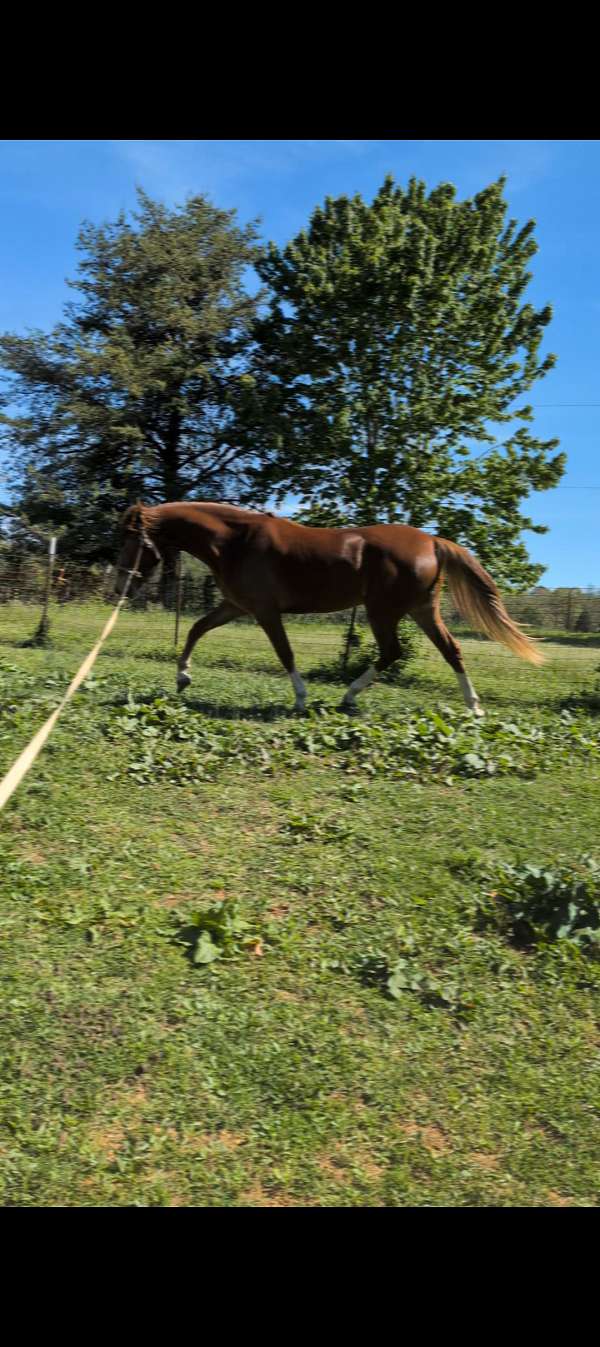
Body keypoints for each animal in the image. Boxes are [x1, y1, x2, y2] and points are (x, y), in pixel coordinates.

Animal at [114, 500, 543, 716]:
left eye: (132, 541)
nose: (121, 585)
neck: (235, 541)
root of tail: (432, 542)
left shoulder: (265, 611)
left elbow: (285, 653)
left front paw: (301, 698)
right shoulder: (235, 606)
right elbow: (196, 629)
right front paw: (183, 677)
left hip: (384, 611)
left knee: (393, 651)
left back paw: (350, 696)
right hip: (422, 610)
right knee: (450, 650)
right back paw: (473, 707)